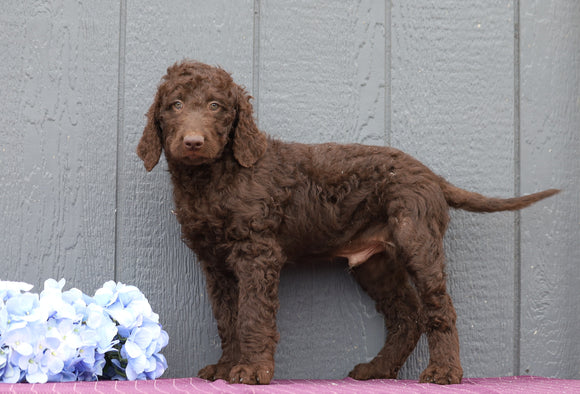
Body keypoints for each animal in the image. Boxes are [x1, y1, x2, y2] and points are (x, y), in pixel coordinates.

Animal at [136, 60, 556, 384]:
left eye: (216, 105)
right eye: (175, 105)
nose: (193, 142)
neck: (213, 179)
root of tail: (431, 176)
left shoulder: (258, 253)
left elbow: (252, 314)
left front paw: (252, 370)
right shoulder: (215, 264)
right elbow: (227, 318)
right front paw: (226, 367)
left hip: (417, 239)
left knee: (439, 309)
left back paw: (444, 372)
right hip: (376, 262)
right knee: (407, 316)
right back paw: (378, 369)